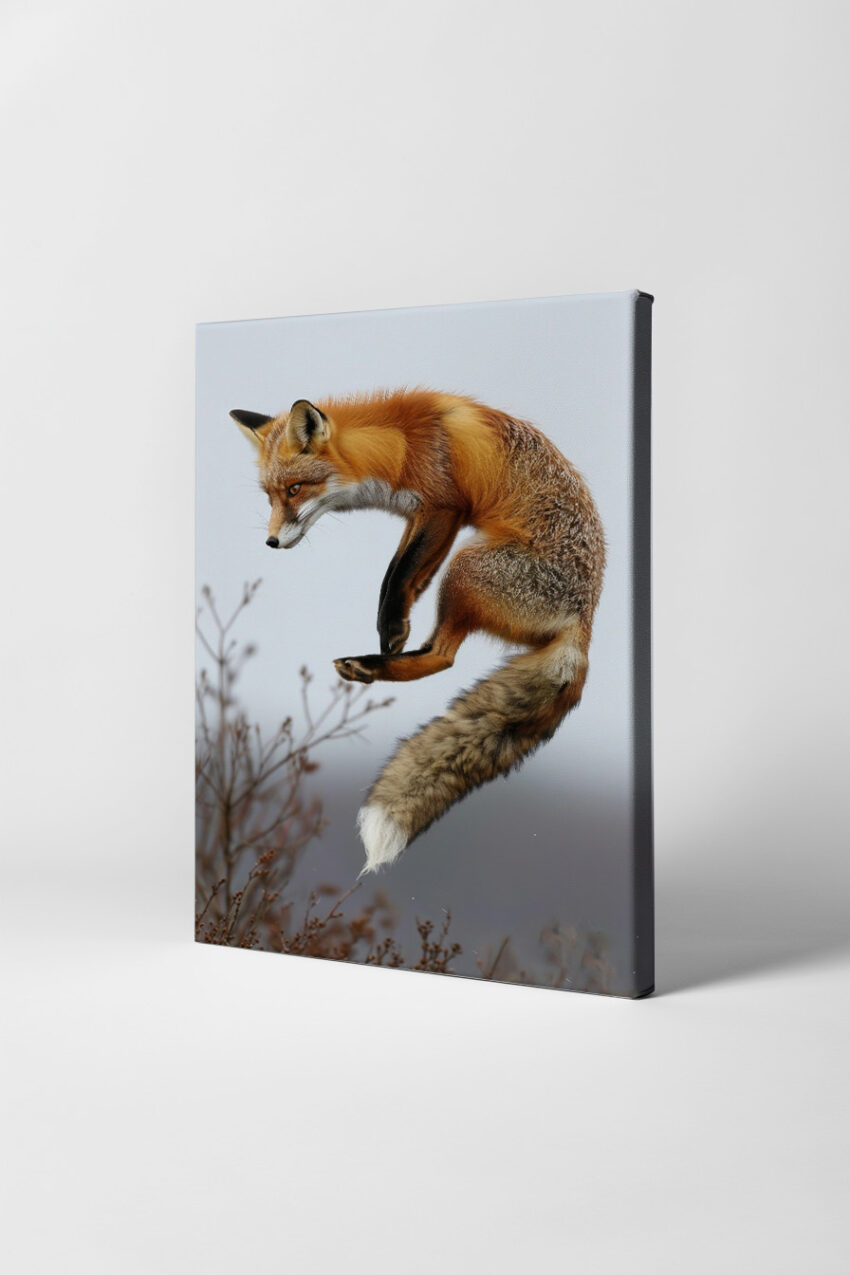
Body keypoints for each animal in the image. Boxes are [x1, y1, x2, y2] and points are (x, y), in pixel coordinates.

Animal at [231, 389, 605, 874]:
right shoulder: (420, 516)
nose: (272, 542)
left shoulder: (443, 506)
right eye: (270, 496)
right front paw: (393, 623)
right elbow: (400, 576)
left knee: (443, 656)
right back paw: (372, 665)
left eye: (295, 489)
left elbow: (399, 575)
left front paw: (391, 627)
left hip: (465, 567)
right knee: (440, 651)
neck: (401, 443)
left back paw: (371, 664)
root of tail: (584, 621)